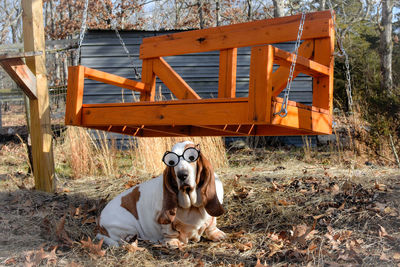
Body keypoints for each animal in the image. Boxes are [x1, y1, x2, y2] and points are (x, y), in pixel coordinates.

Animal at [97, 141, 227, 248]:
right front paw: (173, 242)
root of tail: (99, 219)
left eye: (192, 157)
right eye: (171, 162)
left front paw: (217, 234)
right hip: (128, 223)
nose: (182, 175)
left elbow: (212, 224)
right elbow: (169, 231)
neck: (191, 205)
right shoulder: (164, 220)